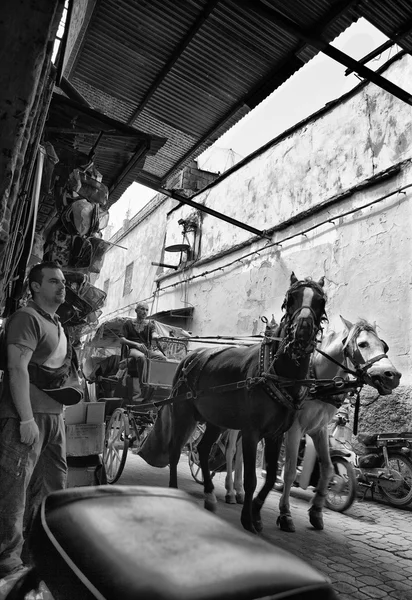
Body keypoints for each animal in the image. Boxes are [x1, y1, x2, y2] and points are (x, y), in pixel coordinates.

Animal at [168, 274, 328, 532]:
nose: (303, 330)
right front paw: (247, 517)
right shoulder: (251, 432)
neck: (276, 373)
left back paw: (209, 495)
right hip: (183, 413)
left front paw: (256, 512)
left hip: (215, 421)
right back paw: (174, 490)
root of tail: (190, 356)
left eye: (321, 301)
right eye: (290, 299)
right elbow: (251, 479)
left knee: (202, 449)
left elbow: (271, 477)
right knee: (174, 452)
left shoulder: (275, 435)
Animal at [251, 316, 402, 532]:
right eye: (362, 344)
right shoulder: (295, 428)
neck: (317, 382)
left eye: (384, 345)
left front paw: (316, 512)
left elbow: (329, 469)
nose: (393, 376)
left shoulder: (319, 429)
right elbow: (289, 471)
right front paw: (285, 513)